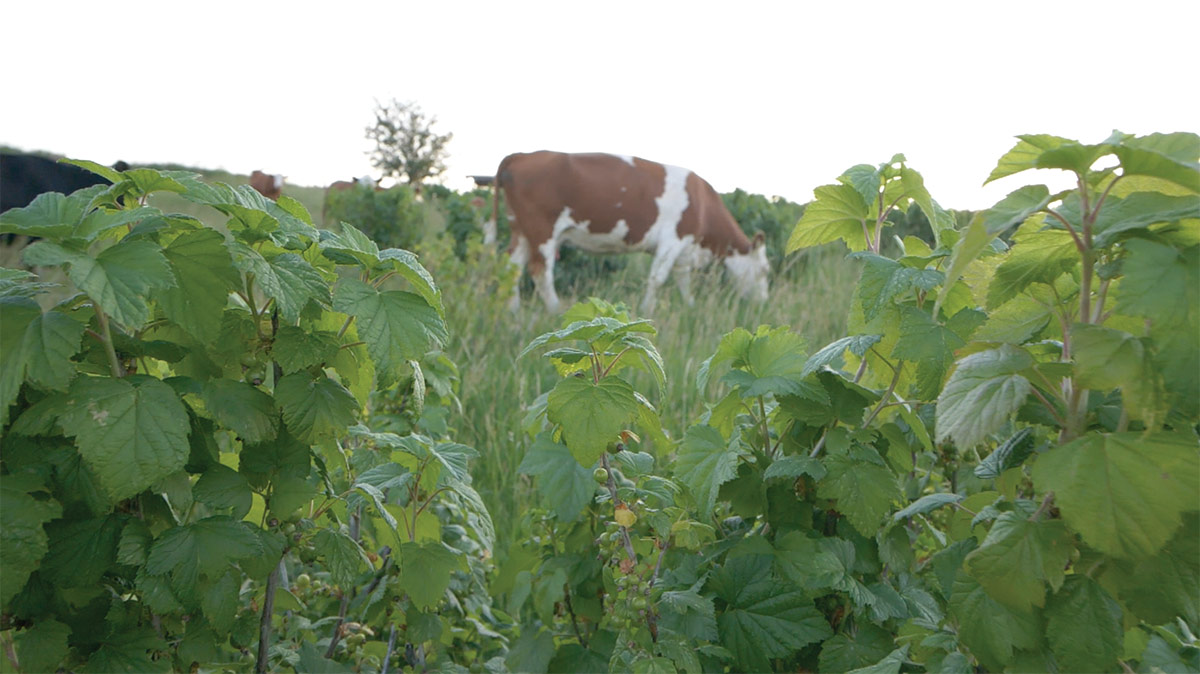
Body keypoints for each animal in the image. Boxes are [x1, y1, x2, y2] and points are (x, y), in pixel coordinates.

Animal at [494, 149, 768, 311]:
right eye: (765, 270)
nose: (762, 303)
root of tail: (523, 155)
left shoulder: (683, 249)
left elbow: (683, 279)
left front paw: (689, 306)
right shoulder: (672, 241)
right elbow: (657, 279)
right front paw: (647, 310)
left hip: (521, 231)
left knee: (511, 268)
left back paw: (513, 311)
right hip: (542, 230)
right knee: (541, 272)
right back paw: (556, 310)